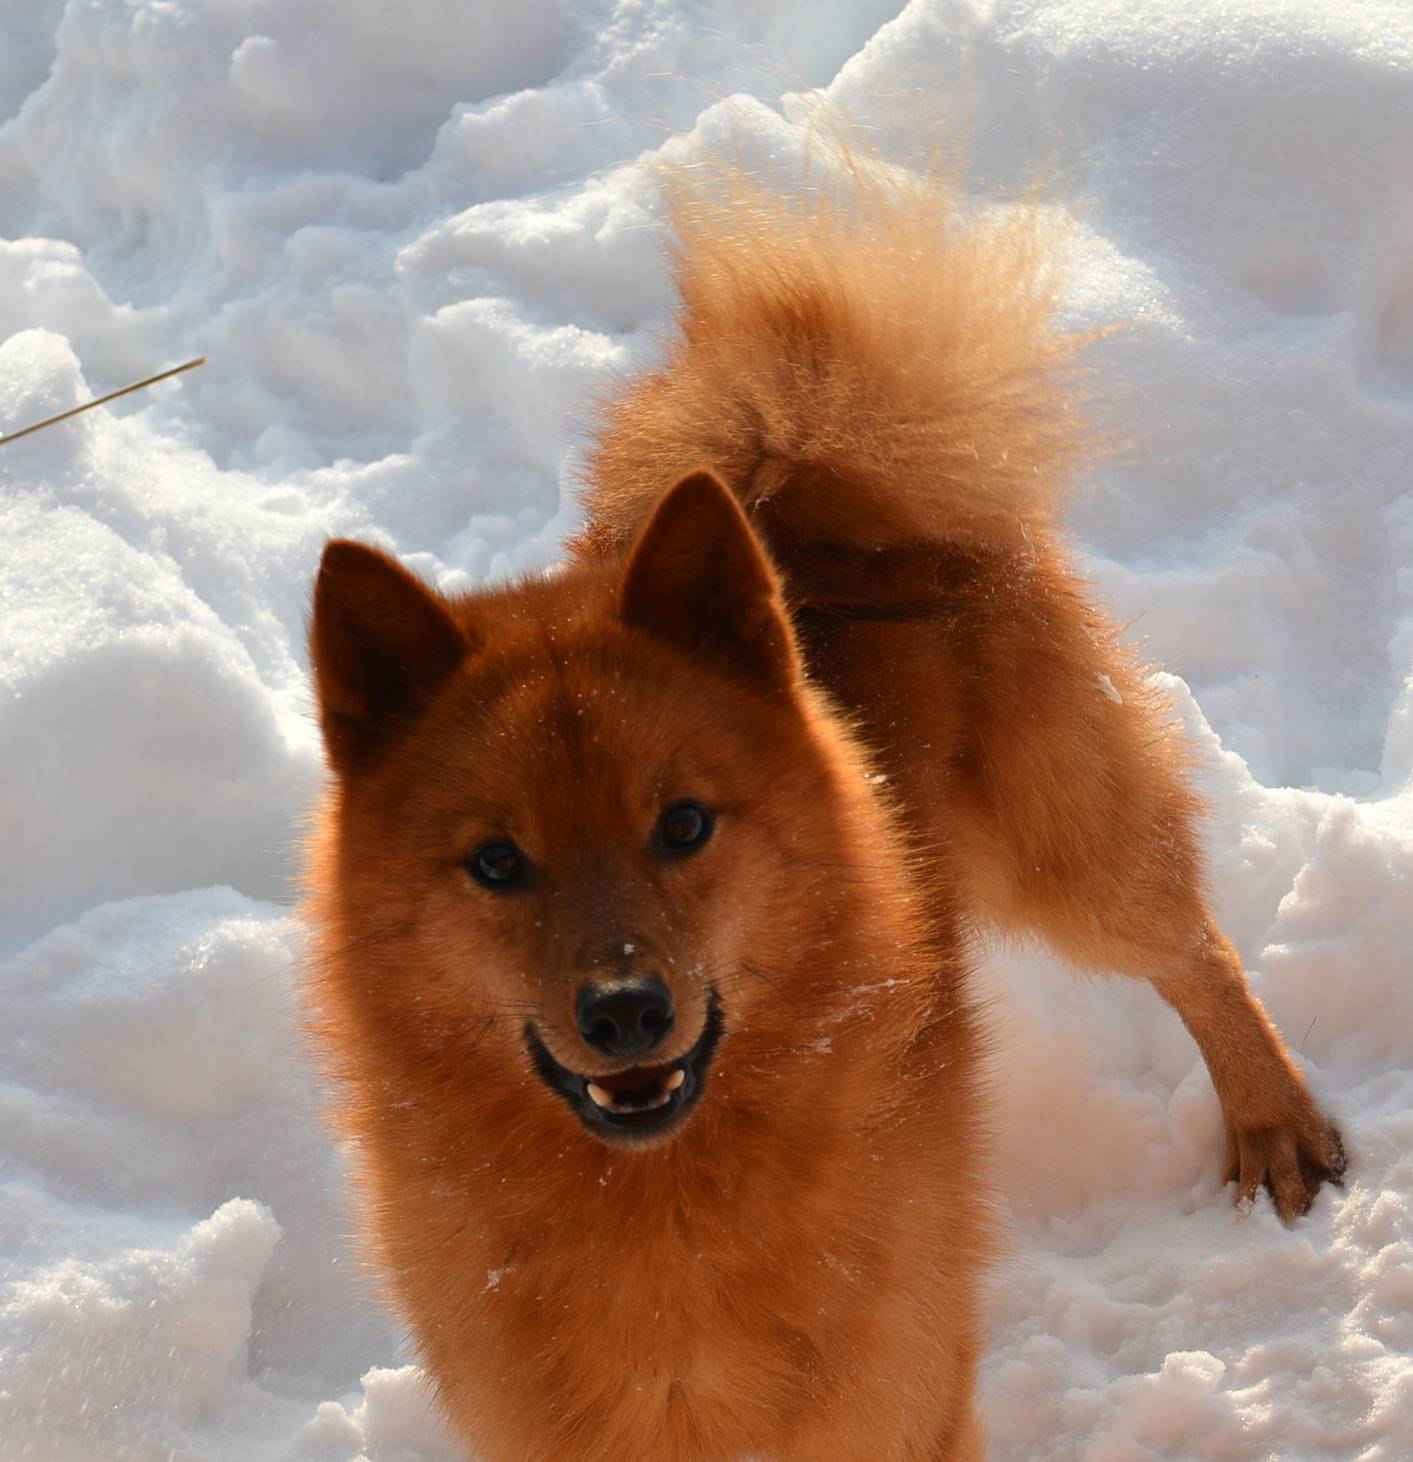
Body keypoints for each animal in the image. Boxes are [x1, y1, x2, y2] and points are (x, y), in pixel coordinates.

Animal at [304, 139, 1345, 1462]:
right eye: (496, 862)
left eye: (683, 824)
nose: (628, 1011)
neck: (660, 1210)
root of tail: (800, 490)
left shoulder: (902, 1406)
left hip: (1071, 852)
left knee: (1193, 948)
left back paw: (1274, 1122)